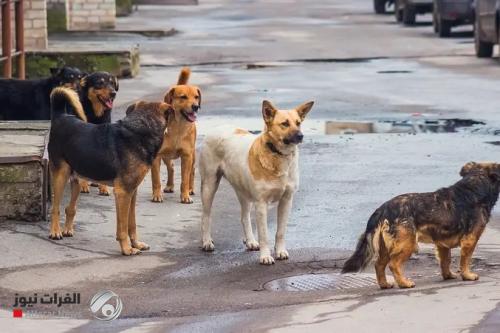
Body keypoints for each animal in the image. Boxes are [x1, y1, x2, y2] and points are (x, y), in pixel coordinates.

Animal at [48, 86, 174, 254]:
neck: (141, 130)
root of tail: (60, 116)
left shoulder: (132, 192)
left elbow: (132, 223)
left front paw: (136, 243)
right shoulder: (123, 193)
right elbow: (123, 227)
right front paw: (127, 249)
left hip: (77, 179)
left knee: (70, 208)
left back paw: (67, 229)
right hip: (60, 176)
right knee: (55, 208)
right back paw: (55, 232)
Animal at [150, 66, 201, 204]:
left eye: (196, 97)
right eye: (183, 97)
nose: (196, 107)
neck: (178, 127)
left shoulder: (187, 156)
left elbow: (184, 179)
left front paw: (185, 195)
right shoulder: (156, 156)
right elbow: (156, 179)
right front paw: (157, 195)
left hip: (193, 156)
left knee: (192, 171)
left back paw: (190, 189)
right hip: (166, 155)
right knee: (171, 167)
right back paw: (169, 186)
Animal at [198, 100, 312, 264]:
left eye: (298, 123)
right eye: (284, 124)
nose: (301, 136)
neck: (277, 155)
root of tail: (217, 128)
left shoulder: (286, 200)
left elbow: (280, 232)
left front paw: (280, 251)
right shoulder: (261, 204)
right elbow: (264, 235)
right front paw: (265, 256)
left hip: (243, 192)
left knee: (244, 217)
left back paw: (250, 241)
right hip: (209, 185)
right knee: (206, 215)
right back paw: (207, 241)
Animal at [342, 162, 500, 290]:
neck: (475, 185)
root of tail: (383, 209)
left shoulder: (442, 244)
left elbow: (445, 261)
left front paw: (448, 275)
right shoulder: (470, 240)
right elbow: (465, 260)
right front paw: (467, 275)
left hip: (386, 246)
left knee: (379, 265)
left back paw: (385, 284)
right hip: (407, 244)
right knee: (393, 265)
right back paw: (404, 283)